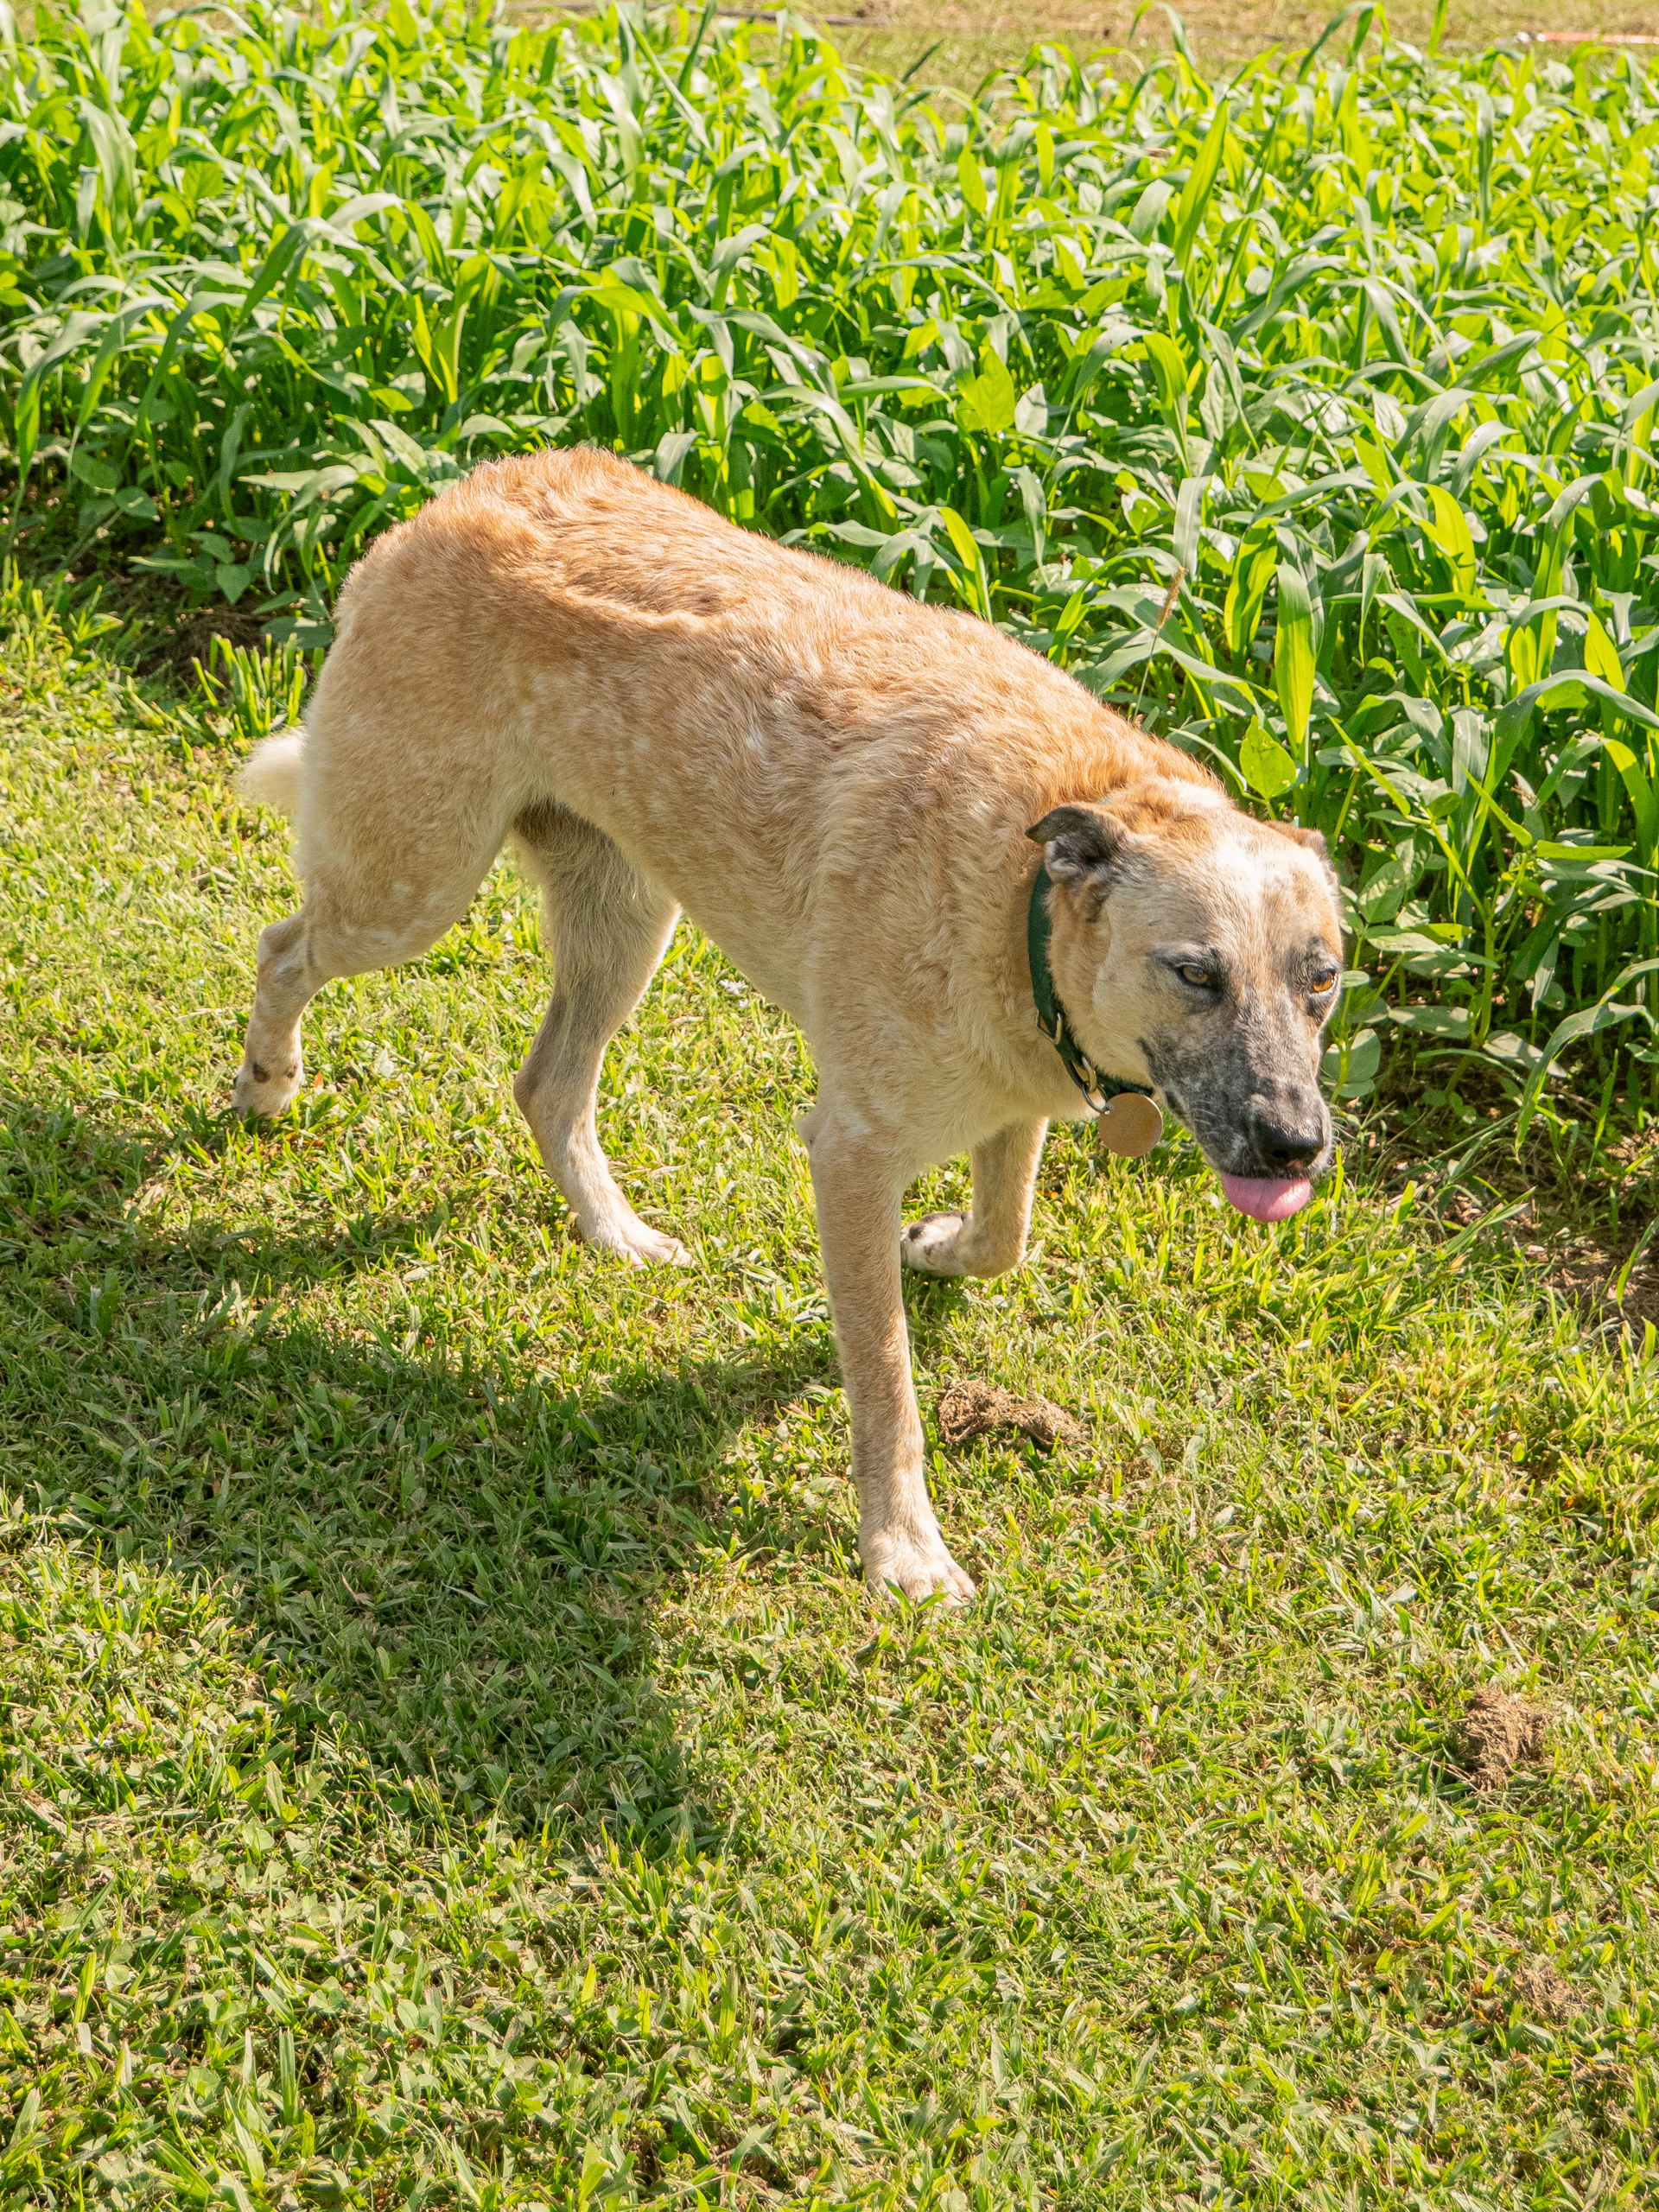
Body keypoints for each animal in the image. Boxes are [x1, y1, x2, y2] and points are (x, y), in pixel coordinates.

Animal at [236, 448, 1353, 1601]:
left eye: (1321, 979)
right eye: (1195, 973)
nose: (1297, 1145)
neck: (1023, 900)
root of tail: (463, 489)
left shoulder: (1019, 1094)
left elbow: (1004, 1236)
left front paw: (941, 1247)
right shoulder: (849, 1155)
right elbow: (888, 1391)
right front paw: (902, 1549)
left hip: (621, 924)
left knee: (547, 1084)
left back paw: (615, 1233)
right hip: (409, 888)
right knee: (285, 946)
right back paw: (267, 1081)